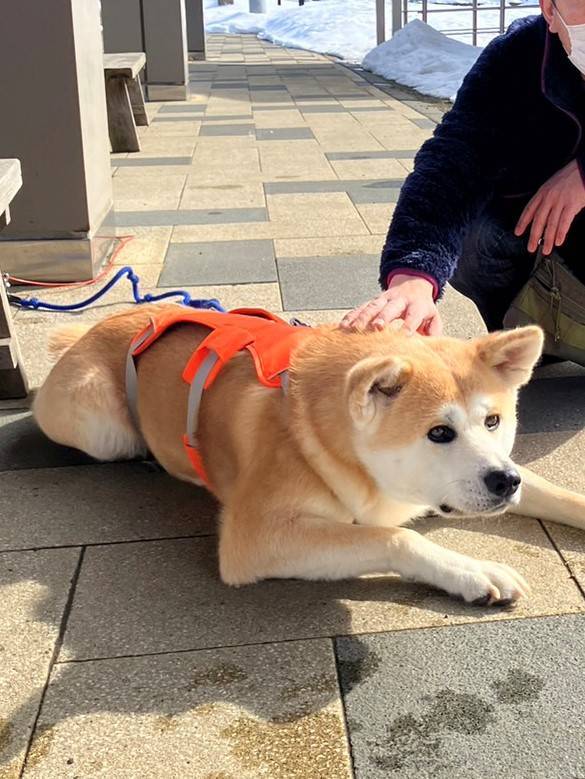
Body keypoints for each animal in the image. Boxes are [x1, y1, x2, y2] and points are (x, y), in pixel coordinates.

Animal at [30, 306, 584, 608]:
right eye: (439, 433)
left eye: (493, 422)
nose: (504, 482)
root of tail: (88, 331)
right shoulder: (254, 537)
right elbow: (396, 536)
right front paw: (473, 572)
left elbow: (557, 492)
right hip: (100, 425)